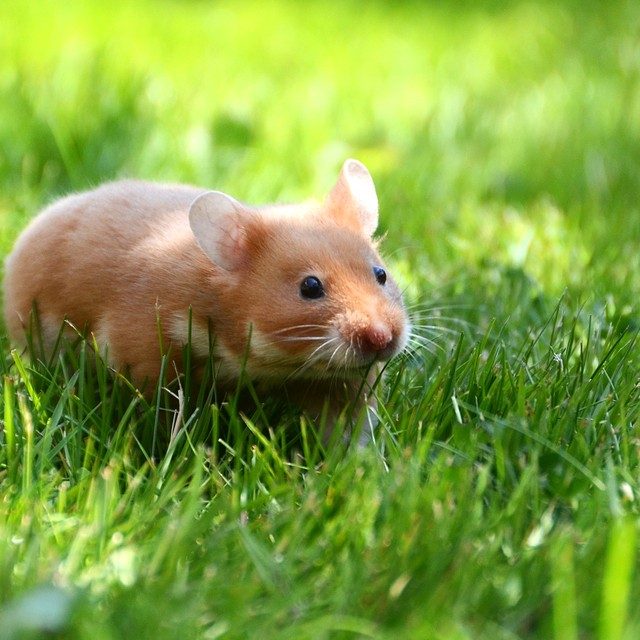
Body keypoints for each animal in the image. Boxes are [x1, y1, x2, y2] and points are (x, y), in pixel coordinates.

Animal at [3, 159, 408, 442]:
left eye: (381, 275)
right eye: (310, 286)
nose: (382, 338)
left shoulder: (339, 385)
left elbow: (347, 431)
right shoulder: (144, 356)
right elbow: (163, 419)